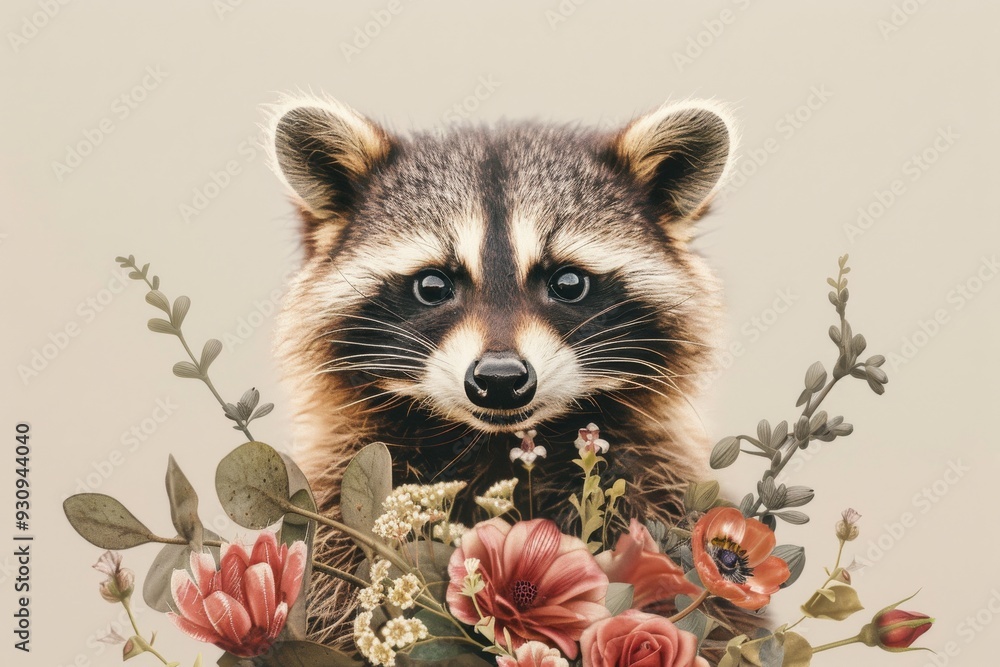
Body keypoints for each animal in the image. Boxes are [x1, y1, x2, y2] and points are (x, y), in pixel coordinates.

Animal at [267, 95, 740, 648]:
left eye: (568, 282)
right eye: (433, 285)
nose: (499, 379)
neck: (490, 446)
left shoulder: (654, 489)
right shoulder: (336, 503)